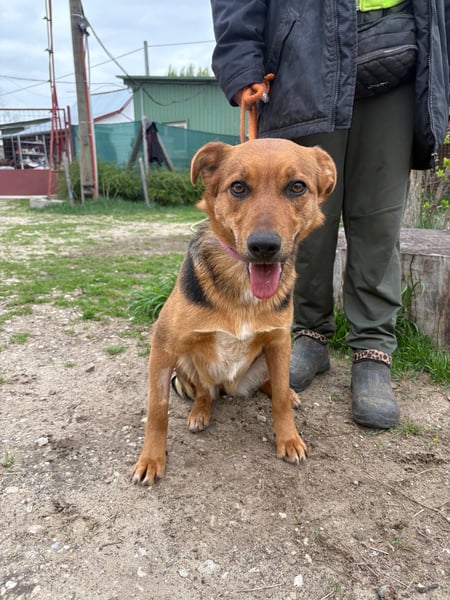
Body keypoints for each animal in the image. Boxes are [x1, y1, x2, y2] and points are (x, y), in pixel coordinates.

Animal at [132, 138, 336, 484]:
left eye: (297, 187)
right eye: (238, 187)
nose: (264, 246)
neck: (242, 284)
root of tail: (230, 387)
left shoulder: (279, 342)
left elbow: (280, 400)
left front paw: (288, 438)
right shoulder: (163, 344)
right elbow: (157, 409)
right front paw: (151, 459)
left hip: (271, 357)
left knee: (275, 385)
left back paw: (288, 393)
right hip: (185, 362)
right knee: (204, 392)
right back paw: (200, 413)